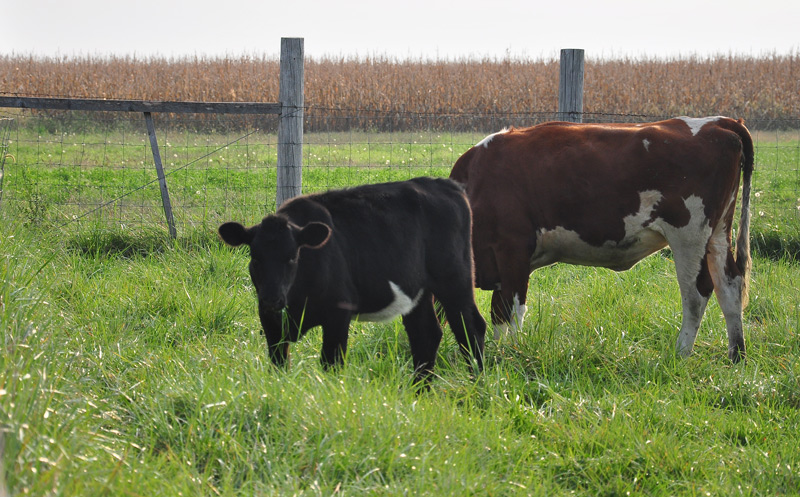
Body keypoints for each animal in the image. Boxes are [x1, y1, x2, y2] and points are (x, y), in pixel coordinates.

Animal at [219, 177, 486, 382]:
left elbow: (331, 363)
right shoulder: (270, 321)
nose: (272, 298)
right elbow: (279, 365)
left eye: (292, 257)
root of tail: (446, 184)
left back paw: (475, 384)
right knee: (425, 334)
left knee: (470, 328)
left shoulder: (338, 312)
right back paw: (420, 391)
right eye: (255, 257)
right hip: (419, 291)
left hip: (455, 279)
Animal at [450, 116, 753, 363]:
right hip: (717, 235)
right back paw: (736, 355)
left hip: (689, 236)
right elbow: (496, 313)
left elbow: (510, 313)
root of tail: (719, 121)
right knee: (730, 285)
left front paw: (509, 353)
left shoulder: (512, 251)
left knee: (697, 294)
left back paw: (680, 354)